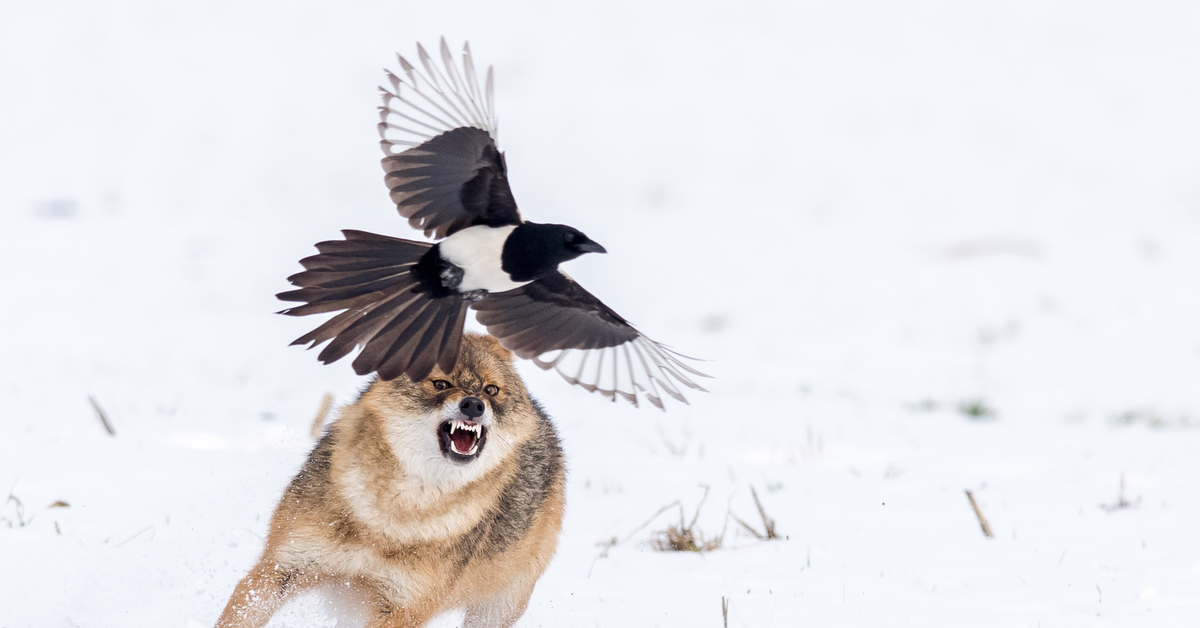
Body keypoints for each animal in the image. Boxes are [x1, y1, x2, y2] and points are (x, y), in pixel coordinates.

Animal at [214, 336, 561, 624]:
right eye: (440, 383)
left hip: (497, 609)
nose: (474, 405)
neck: (389, 516)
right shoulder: (278, 568)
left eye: (491, 390)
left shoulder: (401, 607)